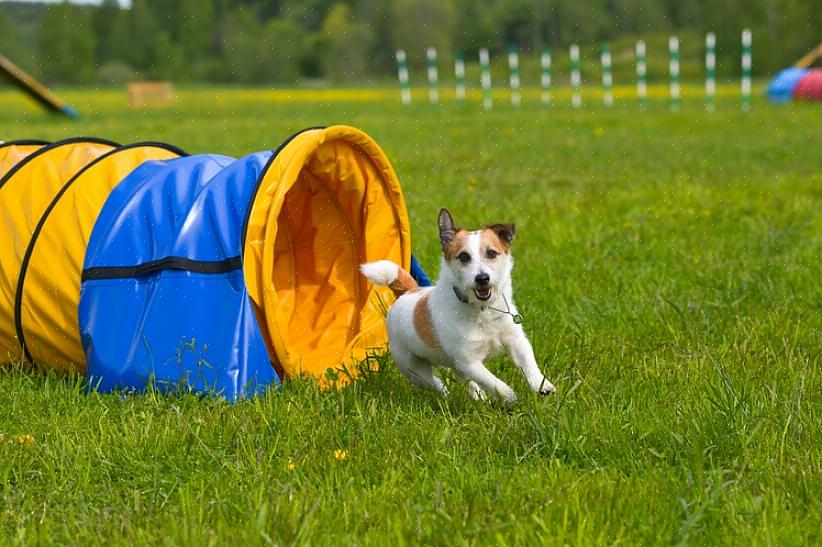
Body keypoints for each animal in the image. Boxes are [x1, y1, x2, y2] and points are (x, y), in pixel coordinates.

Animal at [358, 208, 552, 404]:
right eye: (464, 257)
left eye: (491, 253)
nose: (482, 278)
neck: (482, 309)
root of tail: (409, 291)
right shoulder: (469, 361)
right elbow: (493, 381)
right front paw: (508, 396)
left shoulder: (515, 340)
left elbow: (528, 361)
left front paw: (542, 385)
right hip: (412, 367)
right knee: (435, 382)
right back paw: (448, 394)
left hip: (450, 364)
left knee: (465, 379)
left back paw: (478, 397)